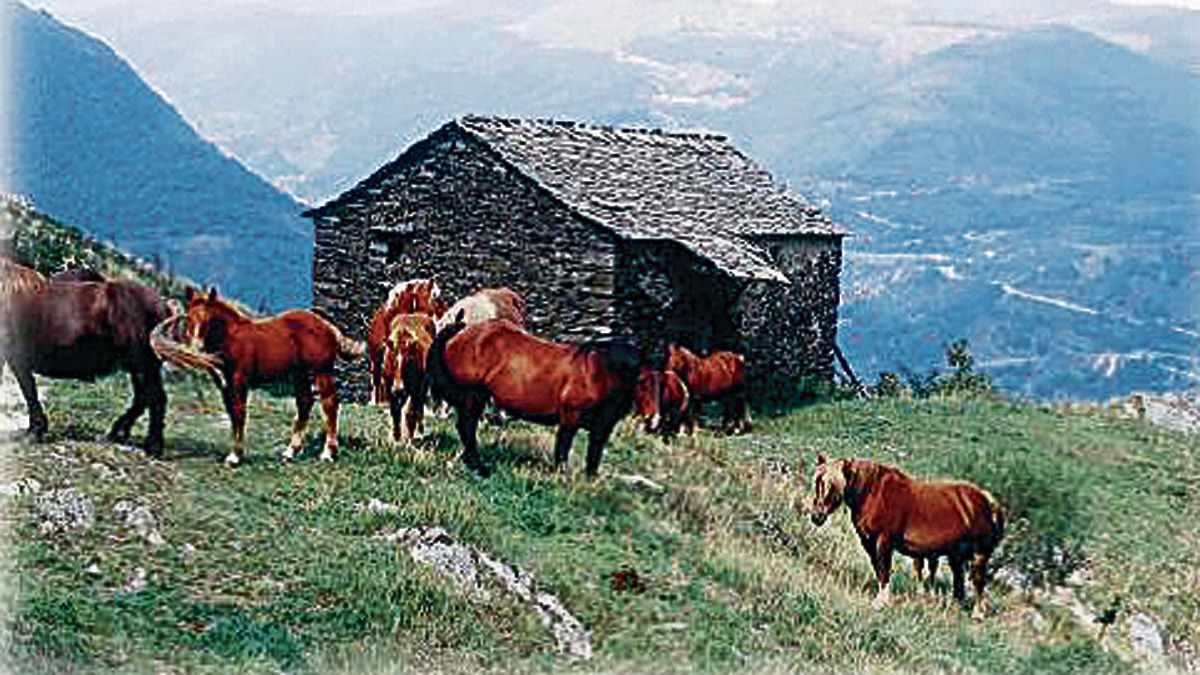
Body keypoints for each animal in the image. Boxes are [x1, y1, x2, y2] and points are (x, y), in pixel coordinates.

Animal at [0, 260, 166, 454]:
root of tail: (162, 307)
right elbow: (29, 390)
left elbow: (29, 391)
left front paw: (35, 431)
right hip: (138, 366)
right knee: (144, 398)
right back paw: (119, 432)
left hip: (142, 364)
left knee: (154, 398)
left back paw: (151, 445)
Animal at [183, 285, 364, 466]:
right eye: (189, 318)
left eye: (209, 320)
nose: (196, 347)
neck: (231, 338)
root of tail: (327, 326)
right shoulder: (226, 384)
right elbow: (232, 413)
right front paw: (235, 454)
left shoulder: (240, 380)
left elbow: (239, 413)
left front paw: (235, 456)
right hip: (300, 373)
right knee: (305, 402)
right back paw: (290, 452)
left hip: (321, 370)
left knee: (329, 403)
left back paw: (327, 453)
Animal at [379, 309, 436, 441]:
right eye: (392, 357)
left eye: (409, 360)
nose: (398, 388)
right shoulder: (388, 386)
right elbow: (395, 410)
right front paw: (396, 436)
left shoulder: (417, 387)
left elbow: (411, 410)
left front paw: (409, 436)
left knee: (418, 407)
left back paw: (419, 430)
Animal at [429, 314, 643, 473]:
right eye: (615, 365)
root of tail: (460, 335)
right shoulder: (570, 414)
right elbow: (563, 447)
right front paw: (561, 476)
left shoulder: (603, 426)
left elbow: (594, 453)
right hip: (475, 393)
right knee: (466, 427)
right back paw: (478, 466)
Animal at [801, 454, 1008, 619]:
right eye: (817, 482)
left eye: (831, 485)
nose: (816, 516)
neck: (872, 492)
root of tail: (987, 500)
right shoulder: (869, 543)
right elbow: (878, 570)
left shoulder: (883, 542)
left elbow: (884, 570)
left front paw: (881, 603)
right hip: (956, 556)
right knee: (959, 582)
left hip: (979, 554)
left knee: (978, 582)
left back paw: (978, 614)